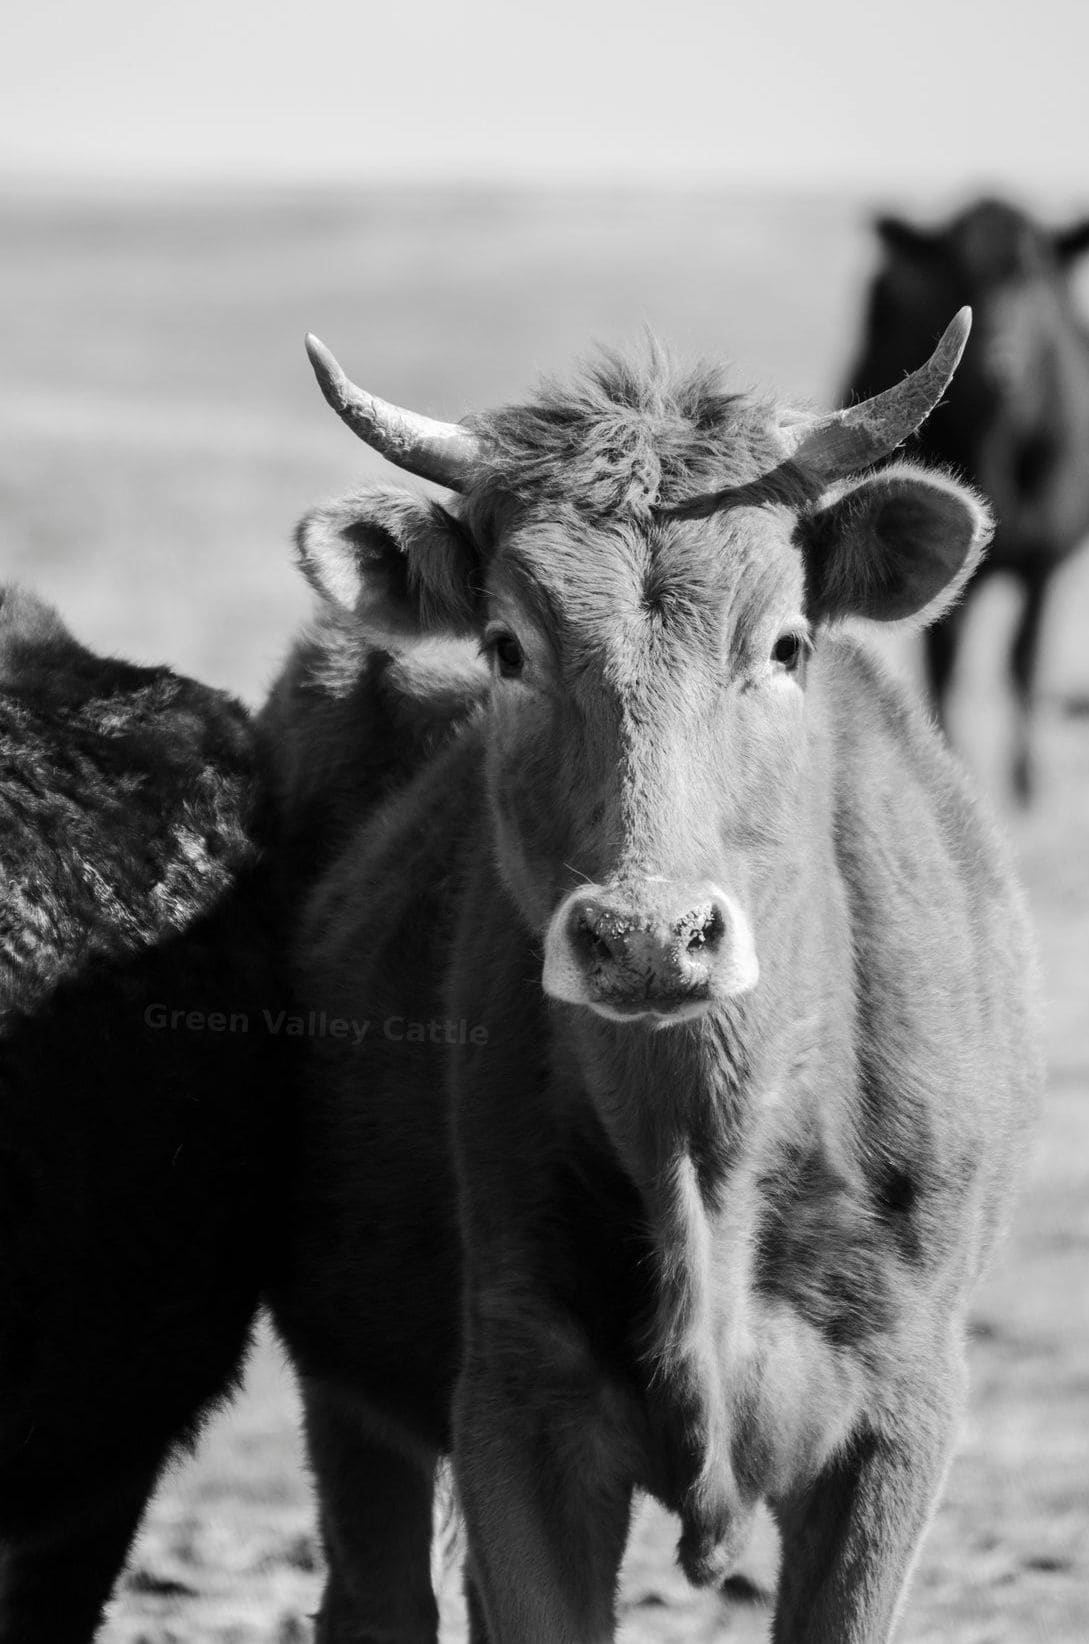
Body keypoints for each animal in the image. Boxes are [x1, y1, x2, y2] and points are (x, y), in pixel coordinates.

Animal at [267, 310, 1042, 1643]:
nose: (647, 936)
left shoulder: (901, 1421)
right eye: (508, 646)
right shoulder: (513, 1413)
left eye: (784, 644)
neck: (709, 1148)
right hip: (350, 1388)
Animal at [842, 195, 1089, 801]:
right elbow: (947, 662)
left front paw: (1026, 781)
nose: (1002, 363)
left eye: (1033, 275)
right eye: (956, 273)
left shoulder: (1044, 563)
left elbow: (1023, 658)